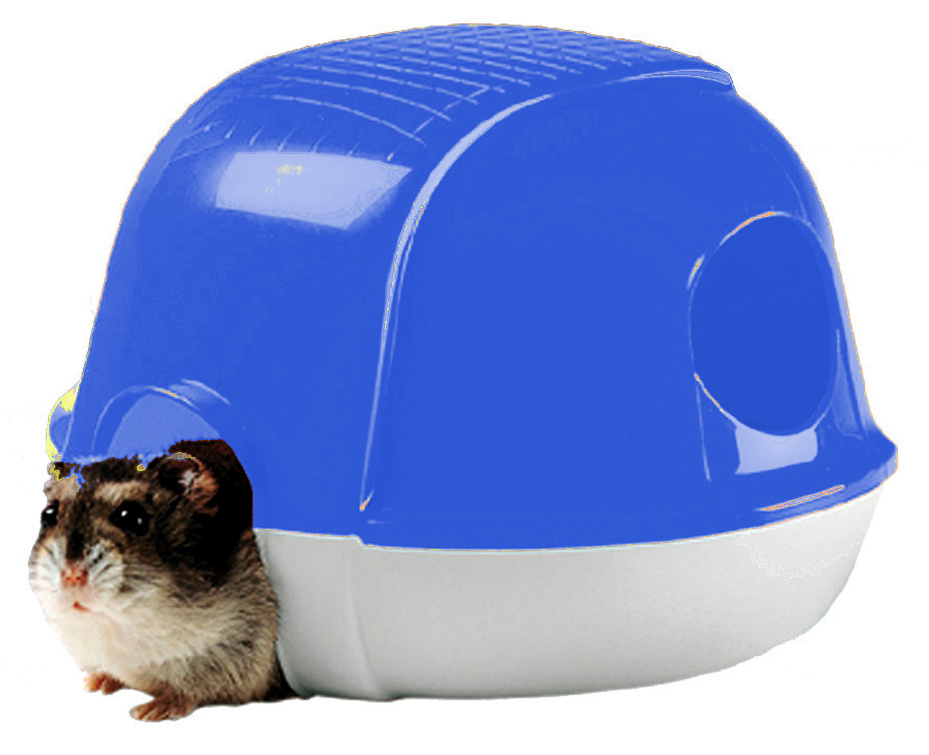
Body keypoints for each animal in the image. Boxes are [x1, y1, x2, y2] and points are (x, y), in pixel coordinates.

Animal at [28, 439, 291, 721]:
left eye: (132, 517)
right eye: (48, 514)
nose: (71, 575)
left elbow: (189, 691)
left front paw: (147, 711)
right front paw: (96, 683)